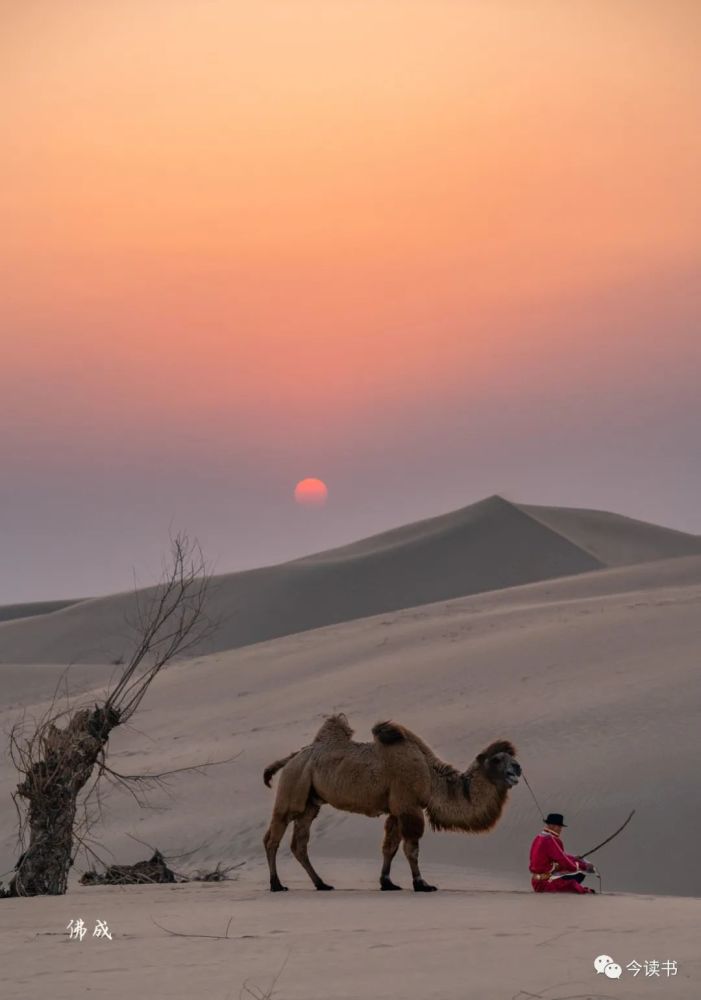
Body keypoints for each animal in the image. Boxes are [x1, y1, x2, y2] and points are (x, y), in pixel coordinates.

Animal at [262, 716, 520, 896]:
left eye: (512, 758)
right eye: (498, 759)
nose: (517, 769)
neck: (430, 776)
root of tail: (293, 757)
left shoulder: (397, 809)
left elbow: (390, 847)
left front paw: (387, 883)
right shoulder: (409, 805)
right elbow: (411, 848)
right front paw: (422, 884)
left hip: (310, 802)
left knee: (299, 843)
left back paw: (322, 884)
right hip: (292, 790)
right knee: (273, 837)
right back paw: (276, 884)